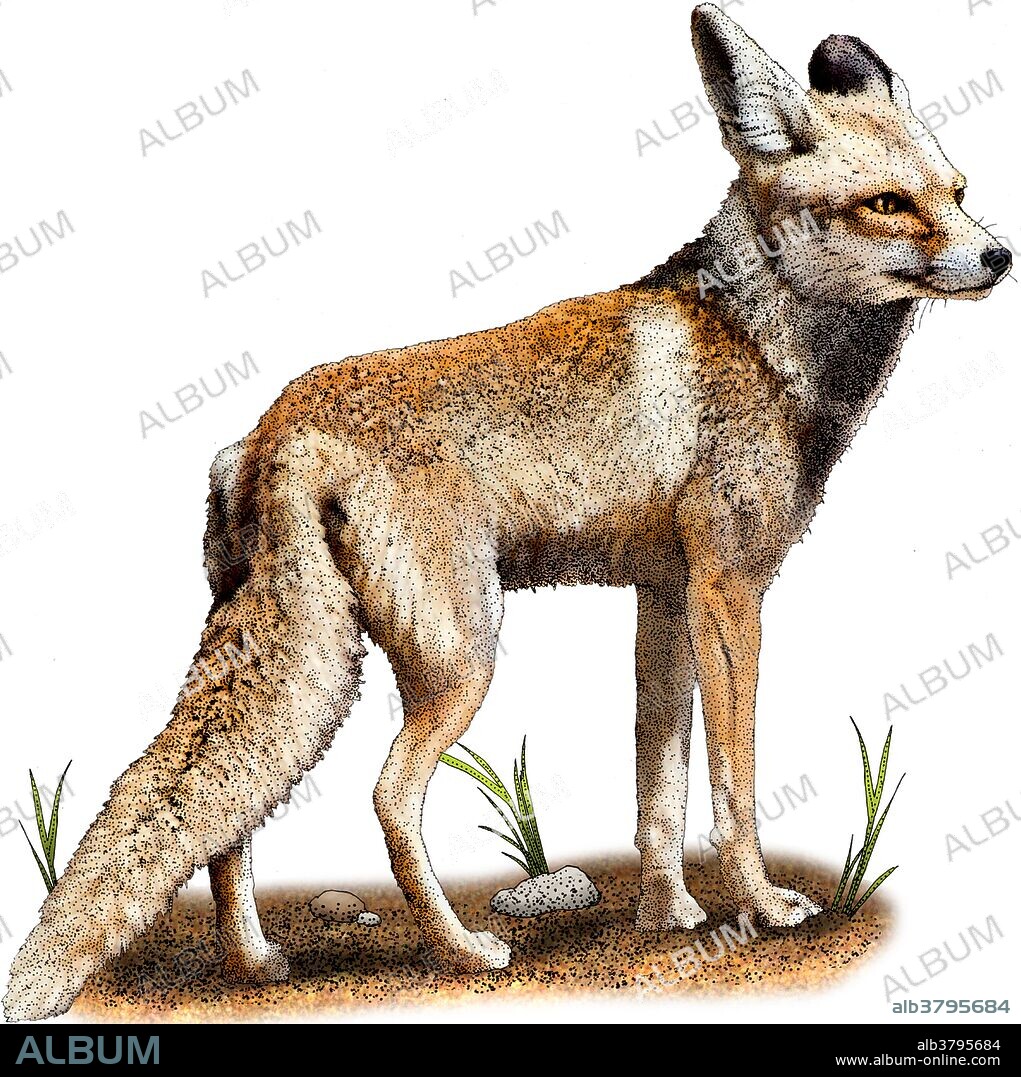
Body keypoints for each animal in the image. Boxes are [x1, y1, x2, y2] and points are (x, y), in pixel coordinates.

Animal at [4, 4, 1011, 1021]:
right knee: (384, 796)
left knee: (233, 815)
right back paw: (460, 950)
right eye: (888, 203)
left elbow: (660, 787)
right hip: (461, 657)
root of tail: (276, 425)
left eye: (959, 191)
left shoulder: (664, 595)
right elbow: (734, 786)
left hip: (309, 662)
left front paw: (665, 914)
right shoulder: (730, 592)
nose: (997, 255)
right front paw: (761, 907)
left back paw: (251, 962)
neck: (758, 342)